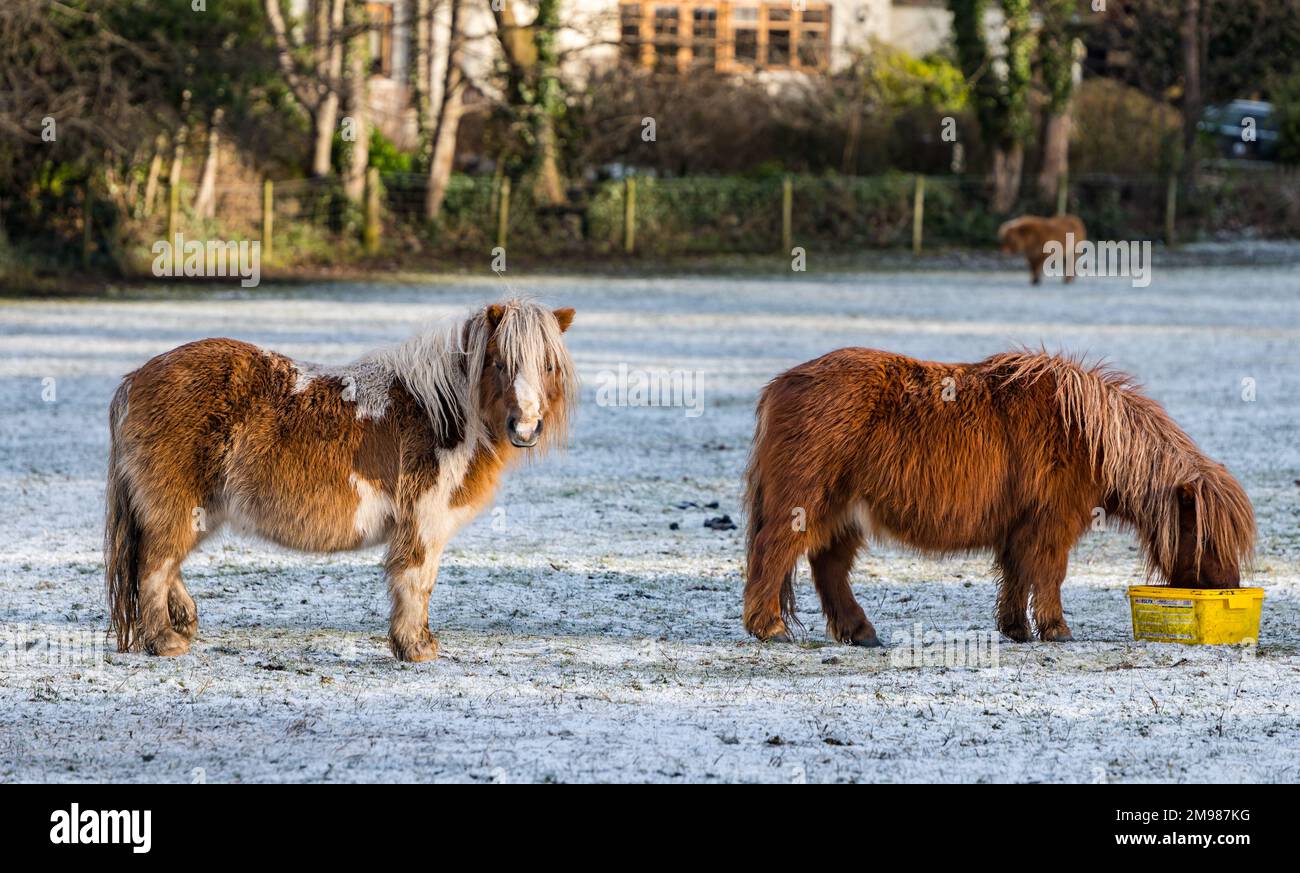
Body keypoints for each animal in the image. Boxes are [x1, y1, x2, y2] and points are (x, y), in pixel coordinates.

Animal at [104, 299, 577, 661]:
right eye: (499, 362)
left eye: (548, 365)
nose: (525, 427)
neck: (441, 412)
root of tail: (135, 379)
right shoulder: (424, 522)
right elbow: (416, 580)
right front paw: (415, 647)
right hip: (179, 507)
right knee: (154, 566)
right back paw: (165, 641)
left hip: (199, 511)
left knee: (165, 564)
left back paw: (184, 622)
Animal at [742, 348, 1255, 646]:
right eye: (1207, 538)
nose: (1229, 586)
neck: (1086, 434)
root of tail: (780, 384)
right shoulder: (1051, 525)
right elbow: (1047, 574)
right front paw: (1056, 630)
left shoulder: (1019, 526)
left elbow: (1015, 576)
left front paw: (1017, 629)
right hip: (805, 503)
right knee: (775, 553)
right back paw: (769, 628)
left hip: (842, 511)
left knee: (828, 567)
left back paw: (860, 633)